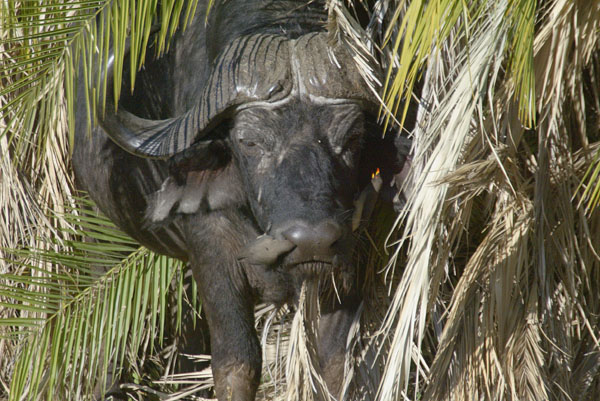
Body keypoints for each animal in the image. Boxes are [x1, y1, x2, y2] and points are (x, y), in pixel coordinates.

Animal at [72, 1, 410, 398]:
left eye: (353, 138)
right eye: (250, 141)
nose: (311, 242)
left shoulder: (349, 255)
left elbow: (333, 363)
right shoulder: (211, 251)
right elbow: (237, 364)